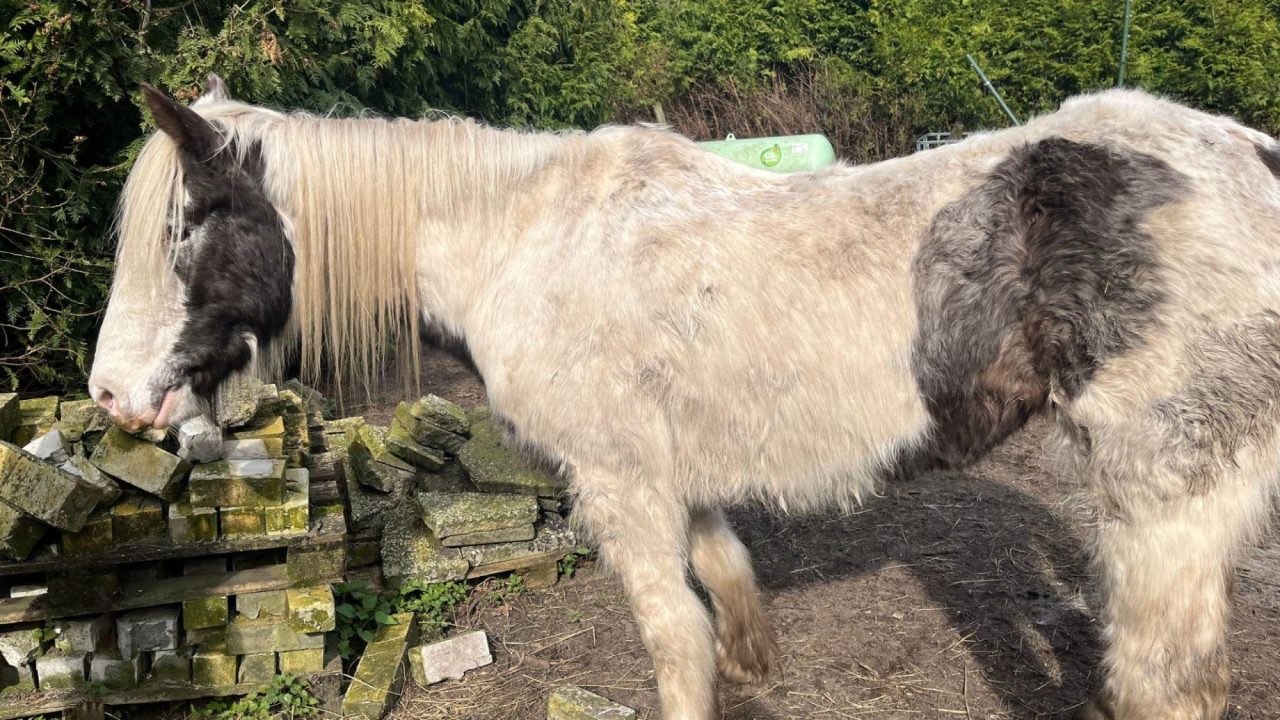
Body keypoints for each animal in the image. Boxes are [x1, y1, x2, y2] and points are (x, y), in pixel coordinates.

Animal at [88, 73, 1280, 719]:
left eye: (183, 226)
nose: (109, 398)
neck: (521, 240)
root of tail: (1251, 157)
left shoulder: (620, 482)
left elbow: (673, 637)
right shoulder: (675, 474)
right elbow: (721, 585)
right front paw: (754, 671)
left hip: (1166, 489)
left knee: (1169, 677)